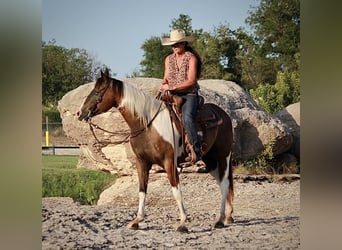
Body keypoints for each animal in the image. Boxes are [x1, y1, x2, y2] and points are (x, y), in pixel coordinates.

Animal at [76, 68, 234, 232]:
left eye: (97, 91)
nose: (80, 112)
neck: (148, 125)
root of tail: (224, 115)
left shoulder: (169, 162)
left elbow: (176, 191)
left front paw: (183, 223)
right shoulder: (142, 162)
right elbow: (142, 190)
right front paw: (137, 220)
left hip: (223, 157)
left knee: (224, 184)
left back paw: (220, 219)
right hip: (210, 161)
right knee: (223, 184)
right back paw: (227, 216)